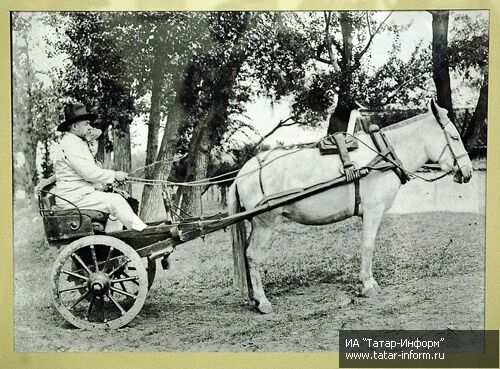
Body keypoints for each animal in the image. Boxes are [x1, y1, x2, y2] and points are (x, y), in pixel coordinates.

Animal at [229, 99, 472, 312]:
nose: (467, 172)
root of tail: (243, 173)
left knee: (246, 252)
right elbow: (368, 246)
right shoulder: (373, 211)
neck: (381, 156)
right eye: (454, 137)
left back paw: (253, 298)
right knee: (252, 255)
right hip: (265, 223)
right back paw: (263, 301)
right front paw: (368, 285)